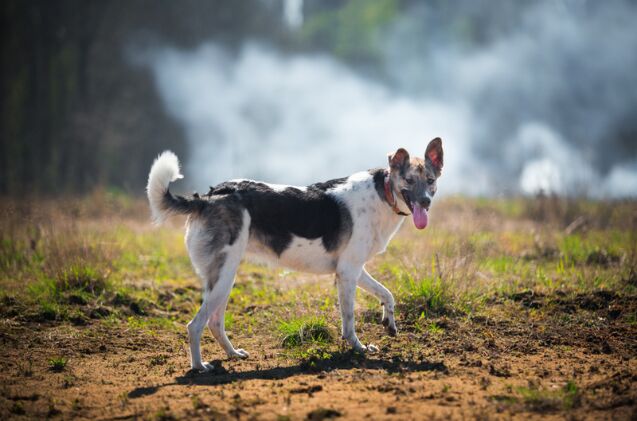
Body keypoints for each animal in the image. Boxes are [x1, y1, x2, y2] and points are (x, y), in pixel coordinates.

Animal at [145, 136, 442, 370]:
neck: (384, 194)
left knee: (214, 322)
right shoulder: (347, 274)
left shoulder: (353, 269)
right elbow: (349, 322)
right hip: (223, 278)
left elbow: (387, 294)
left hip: (224, 279)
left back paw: (233, 354)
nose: (426, 202)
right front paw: (358, 349)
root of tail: (210, 196)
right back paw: (199, 367)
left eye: (430, 180)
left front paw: (389, 323)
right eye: (409, 180)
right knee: (195, 325)